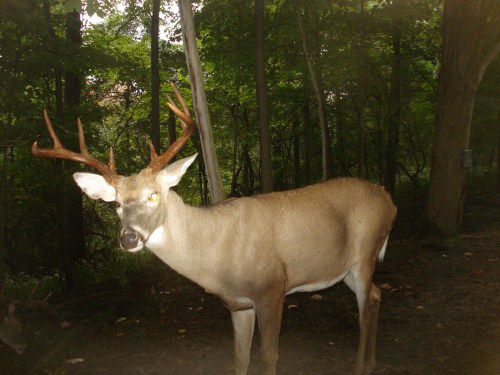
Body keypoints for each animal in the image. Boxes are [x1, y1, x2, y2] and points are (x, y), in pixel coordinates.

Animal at [32, 83, 398, 375]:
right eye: (117, 203)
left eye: (154, 194)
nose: (129, 237)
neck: (217, 257)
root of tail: (388, 198)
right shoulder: (238, 304)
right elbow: (239, 360)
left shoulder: (272, 288)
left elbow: (269, 357)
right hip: (345, 268)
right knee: (377, 296)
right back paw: (371, 363)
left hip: (364, 253)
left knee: (366, 306)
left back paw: (360, 366)